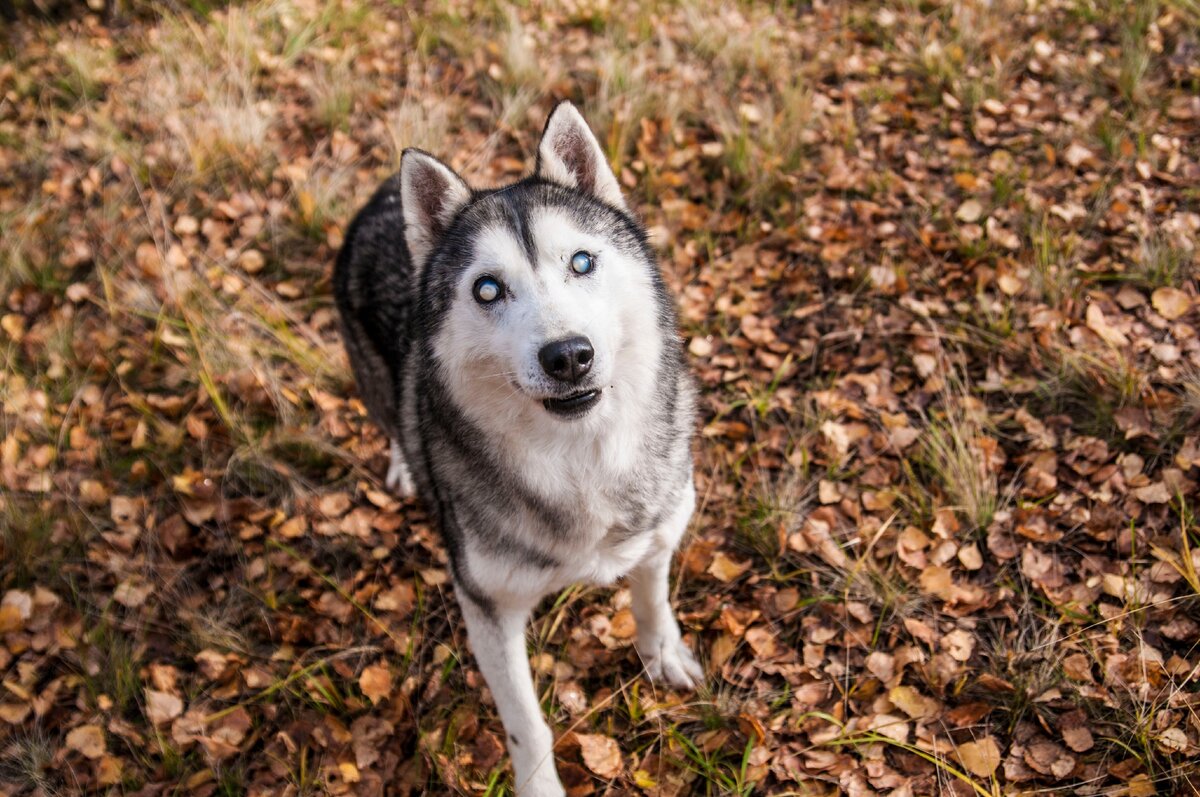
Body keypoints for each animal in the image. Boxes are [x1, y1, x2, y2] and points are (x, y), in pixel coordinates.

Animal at [333, 102, 700, 792]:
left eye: (581, 262)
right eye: (487, 289)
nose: (568, 355)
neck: (580, 461)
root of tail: (382, 196)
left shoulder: (661, 526)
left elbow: (652, 596)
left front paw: (662, 651)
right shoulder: (487, 609)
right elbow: (527, 726)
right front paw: (539, 785)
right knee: (394, 419)